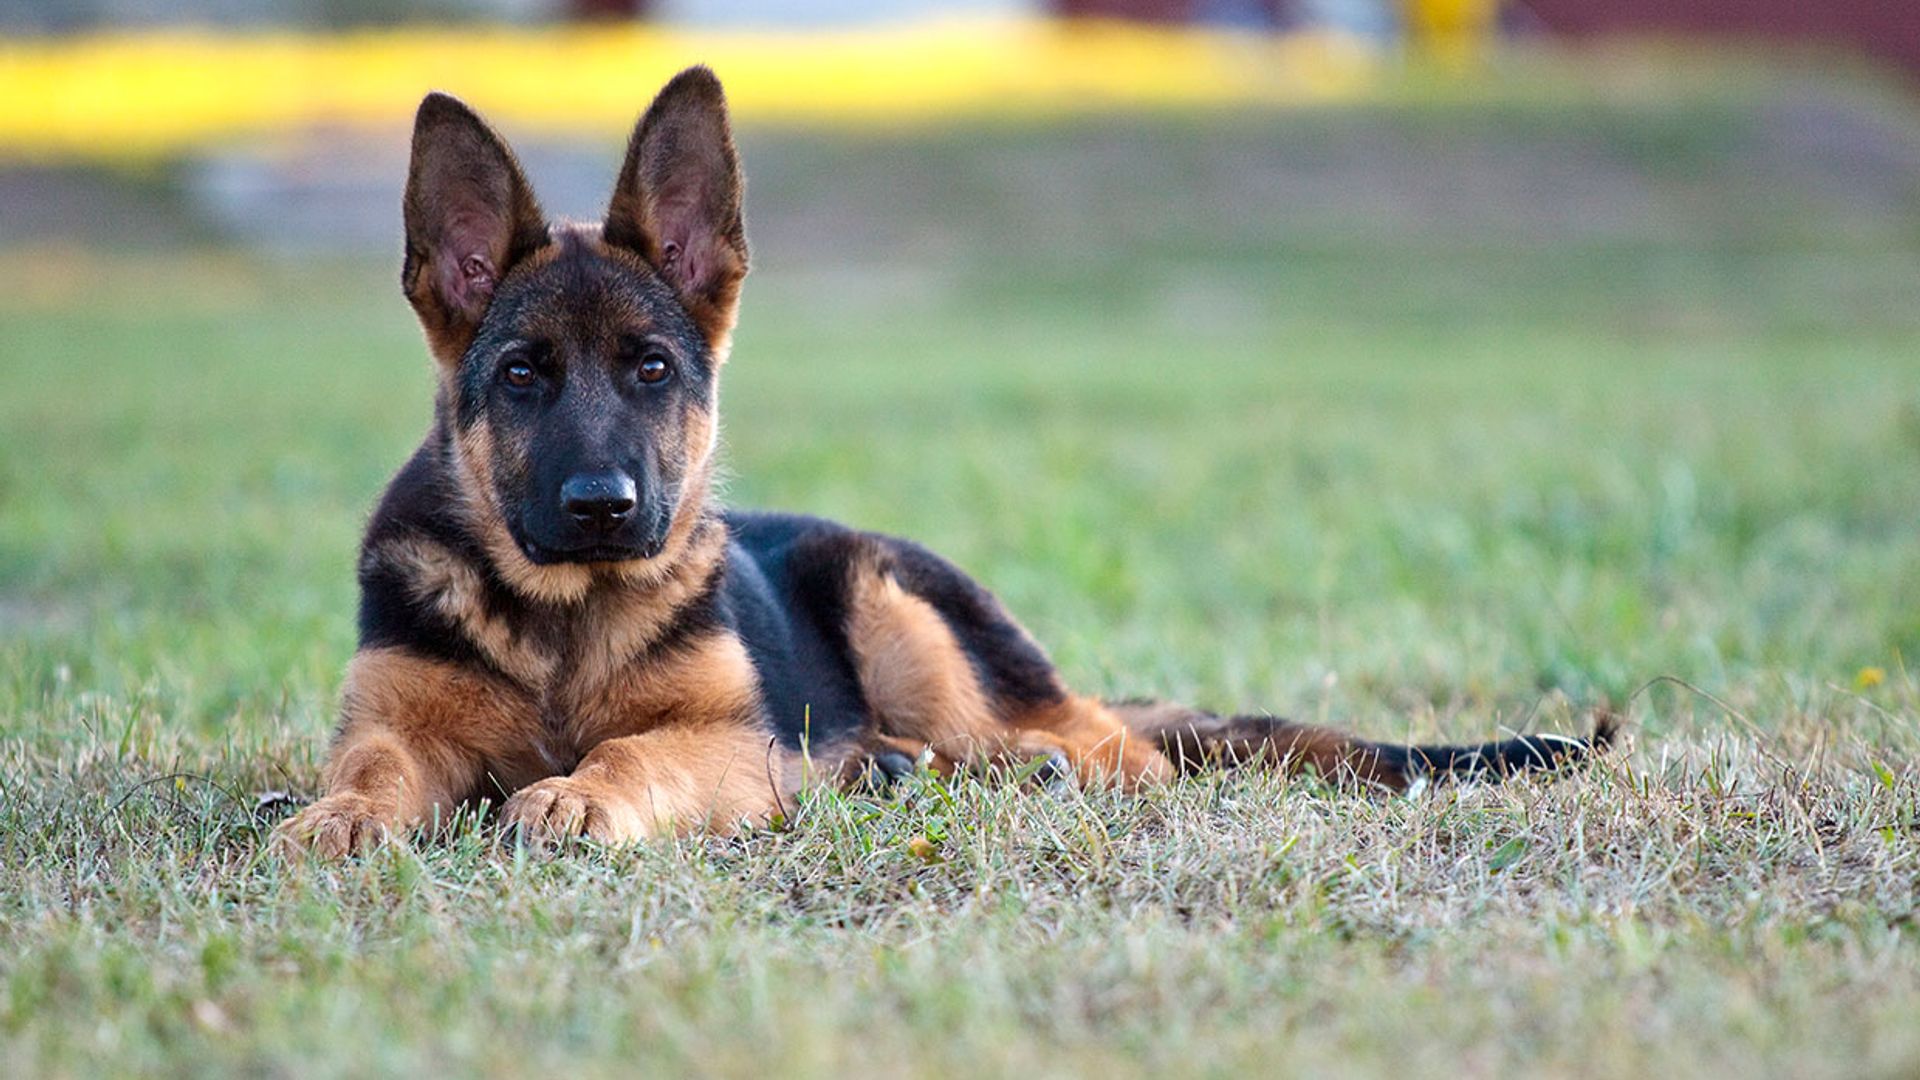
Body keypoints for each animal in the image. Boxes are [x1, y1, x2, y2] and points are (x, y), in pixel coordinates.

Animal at [274, 69, 1605, 857]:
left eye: (651, 368)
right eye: (521, 377)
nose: (604, 508)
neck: (561, 619)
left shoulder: (736, 742)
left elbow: (635, 748)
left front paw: (580, 791)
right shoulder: (395, 726)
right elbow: (376, 766)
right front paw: (339, 815)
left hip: (901, 611)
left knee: (1114, 752)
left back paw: (1022, 773)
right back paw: (896, 774)